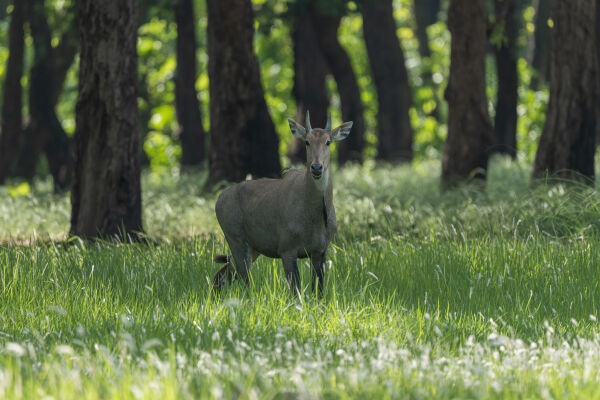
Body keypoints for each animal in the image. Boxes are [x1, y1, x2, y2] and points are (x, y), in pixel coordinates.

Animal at [211, 110, 352, 294]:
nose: (316, 167)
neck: (316, 217)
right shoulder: (287, 250)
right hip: (237, 241)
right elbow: (295, 290)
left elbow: (318, 290)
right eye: (307, 141)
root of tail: (219, 200)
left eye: (328, 141)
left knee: (221, 275)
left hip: (253, 248)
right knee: (245, 282)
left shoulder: (320, 252)